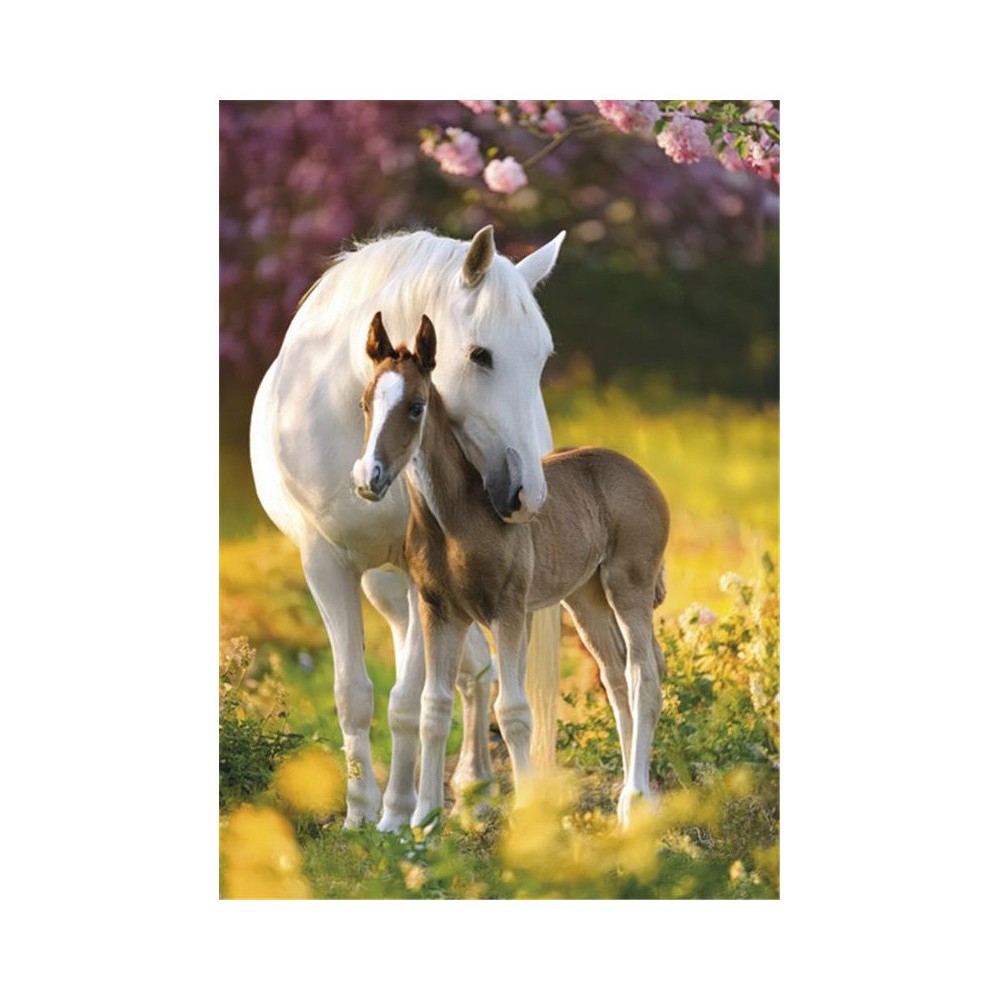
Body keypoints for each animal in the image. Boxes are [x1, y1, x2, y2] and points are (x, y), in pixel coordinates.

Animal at [249, 226, 566, 830]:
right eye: (481, 355)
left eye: (541, 359)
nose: (526, 496)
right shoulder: (326, 564)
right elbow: (354, 696)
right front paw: (358, 815)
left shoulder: (426, 576)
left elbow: (405, 702)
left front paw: (397, 815)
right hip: (387, 589)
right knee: (469, 668)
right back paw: (462, 788)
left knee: (469, 674)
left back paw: (467, 788)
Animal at [353, 314, 670, 827]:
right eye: (364, 403)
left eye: (416, 407)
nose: (369, 478)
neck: (455, 518)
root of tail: (638, 472)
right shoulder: (439, 611)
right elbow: (433, 706)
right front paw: (423, 820)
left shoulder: (508, 609)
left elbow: (514, 711)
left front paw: (527, 814)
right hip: (586, 598)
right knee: (616, 677)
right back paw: (636, 796)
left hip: (629, 586)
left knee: (644, 674)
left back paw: (635, 800)